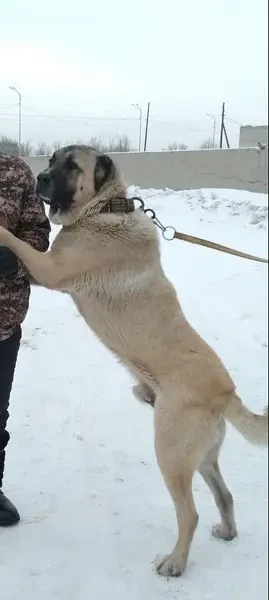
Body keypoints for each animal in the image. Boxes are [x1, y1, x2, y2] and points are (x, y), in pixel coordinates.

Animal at [0, 144, 264, 576]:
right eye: (52, 159)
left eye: (72, 166)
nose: (39, 177)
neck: (102, 208)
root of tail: (228, 394)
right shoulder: (42, 270)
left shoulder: (51, 269)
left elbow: (13, 240)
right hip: (202, 455)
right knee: (224, 495)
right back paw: (226, 532)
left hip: (170, 451)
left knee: (189, 513)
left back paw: (174, 563)